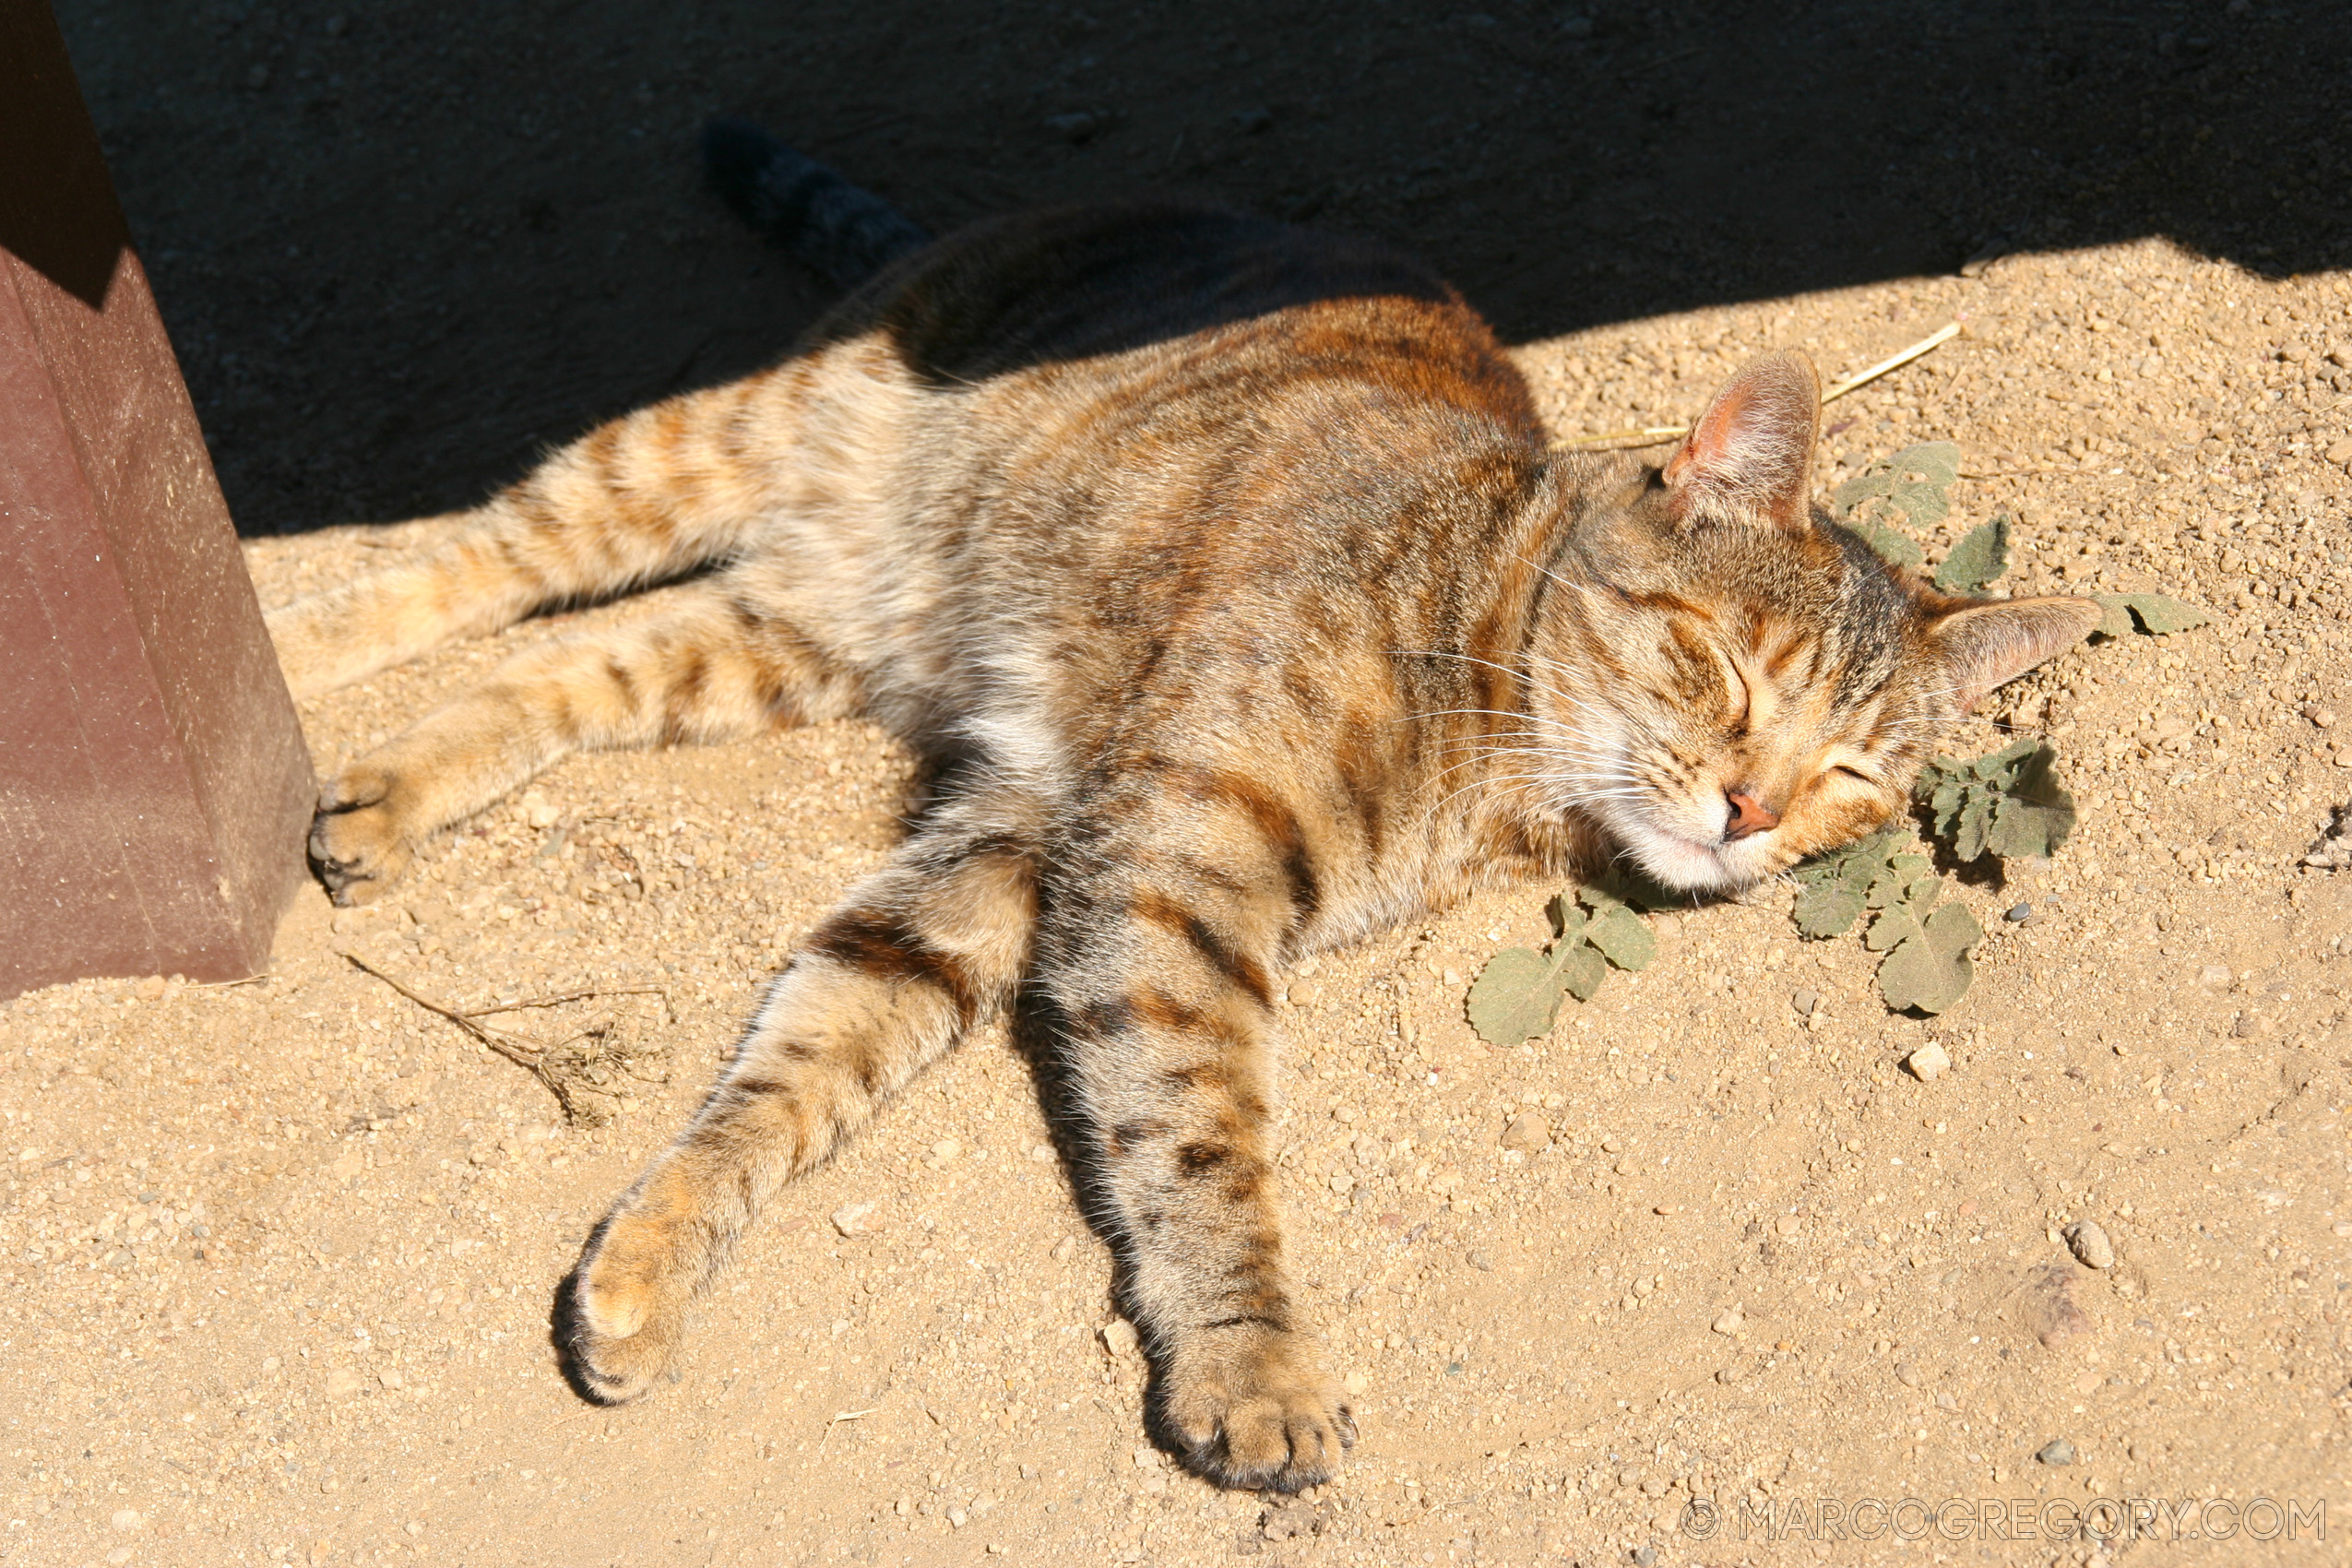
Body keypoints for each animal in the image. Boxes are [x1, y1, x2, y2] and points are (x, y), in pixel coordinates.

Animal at [267, 128, 2107, 1494]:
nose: (1749, 809)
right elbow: (1201, 1140)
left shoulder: (1017, 838)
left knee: (565, 671)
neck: (1484, 706)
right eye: (1722, 664)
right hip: (700, 453)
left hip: (784, 635)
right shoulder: (1168, 868)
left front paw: (651, 1252)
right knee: (483, 555)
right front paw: (1253, 1358)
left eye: (1854, 777)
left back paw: (383, 785)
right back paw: (295, 652)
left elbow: (804, 1054)